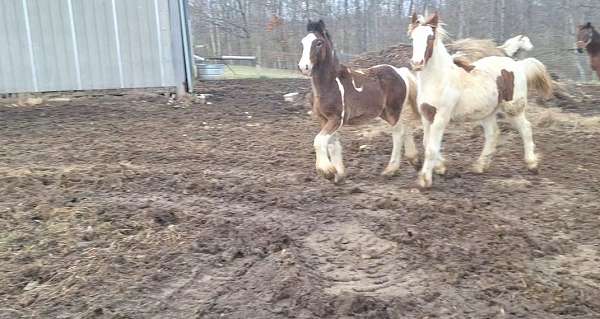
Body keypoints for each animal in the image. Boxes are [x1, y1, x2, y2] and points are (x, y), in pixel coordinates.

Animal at [298, 20, 420, 184]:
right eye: (302, 42)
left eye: (318, 43)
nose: (303, 67)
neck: (330, 84)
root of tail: (400, 72)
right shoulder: (324, 119)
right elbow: (332, 144)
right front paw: (338, 174)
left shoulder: (336, 118)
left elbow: (319, 140)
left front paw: (327, 171)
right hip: (385, 112)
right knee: (406, 127)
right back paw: (415, 161)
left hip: (393, 110)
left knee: (398, 133)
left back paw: (390, 170)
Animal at [410, 13, 552, 189]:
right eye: (412, 37)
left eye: (430, 38)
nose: (417, 64)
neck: (438, 79)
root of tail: (518, 65)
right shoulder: (426, 115)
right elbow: (426, 142)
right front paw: (441, 167)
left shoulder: (442, 117)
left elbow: (431, 147)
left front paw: (425, 179)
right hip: (487, 112)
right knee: (493, 133)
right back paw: (480, 166)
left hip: (513, 108)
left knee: (525, 128)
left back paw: (532, 164)